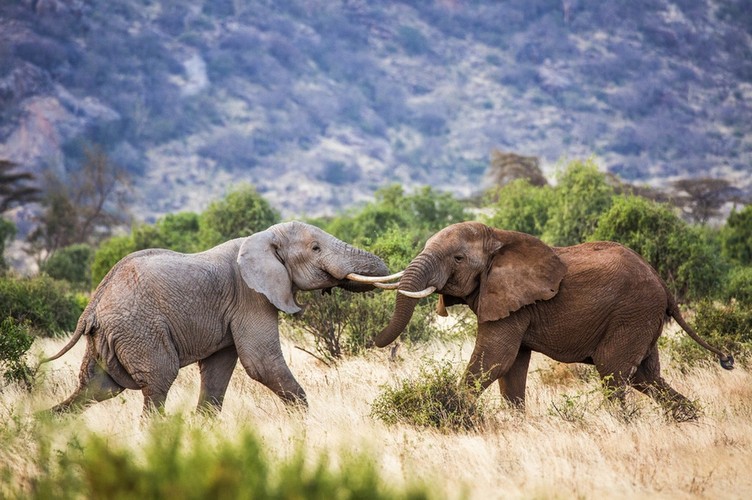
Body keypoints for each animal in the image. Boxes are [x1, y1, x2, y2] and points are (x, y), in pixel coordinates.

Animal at [40, 222, 394, 414]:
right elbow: (260, 362)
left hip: (109, 339)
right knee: (157, 383)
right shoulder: (250, 297)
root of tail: (92, 306)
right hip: (140, 331)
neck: (263, 237)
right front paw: (304, 426)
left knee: (96, 389)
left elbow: (218, 368)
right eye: (316, 248)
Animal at [376, 221, 736, 420]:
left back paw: (622, 425)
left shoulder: (513, 303)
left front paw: (453, 412)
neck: (499, 237)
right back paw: (690, 421)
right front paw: (518, 424)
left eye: (459, 258)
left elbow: (495, 358)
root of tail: (663, 283)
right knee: (645, 377)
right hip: (643, 319)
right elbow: (512, 367)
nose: (376, 341)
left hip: (632, 313)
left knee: (614, 373)